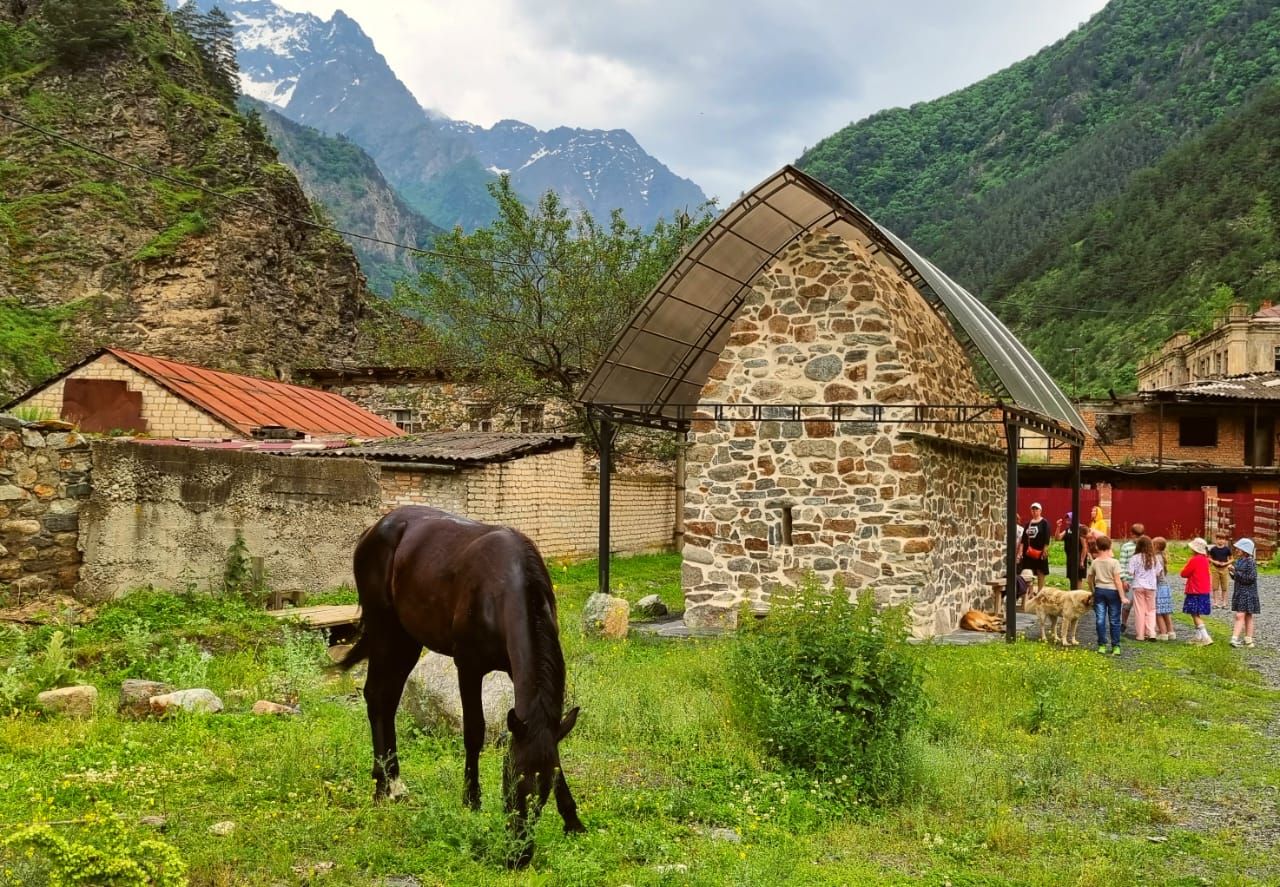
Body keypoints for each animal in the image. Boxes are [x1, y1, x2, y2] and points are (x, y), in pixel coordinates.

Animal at [338, 506, 584, 867]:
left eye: (543, 793)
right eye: (511, 782)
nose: (519, 857)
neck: (503, 589)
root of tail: (374, 528)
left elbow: (550, 746)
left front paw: (573, 820)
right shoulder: (468, 666)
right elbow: (474, 732)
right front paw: (471, 801)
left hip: (406, 638)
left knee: (387, 698)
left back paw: (393, 781)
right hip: (385, 629)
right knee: (376, 697)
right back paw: (384, 786)